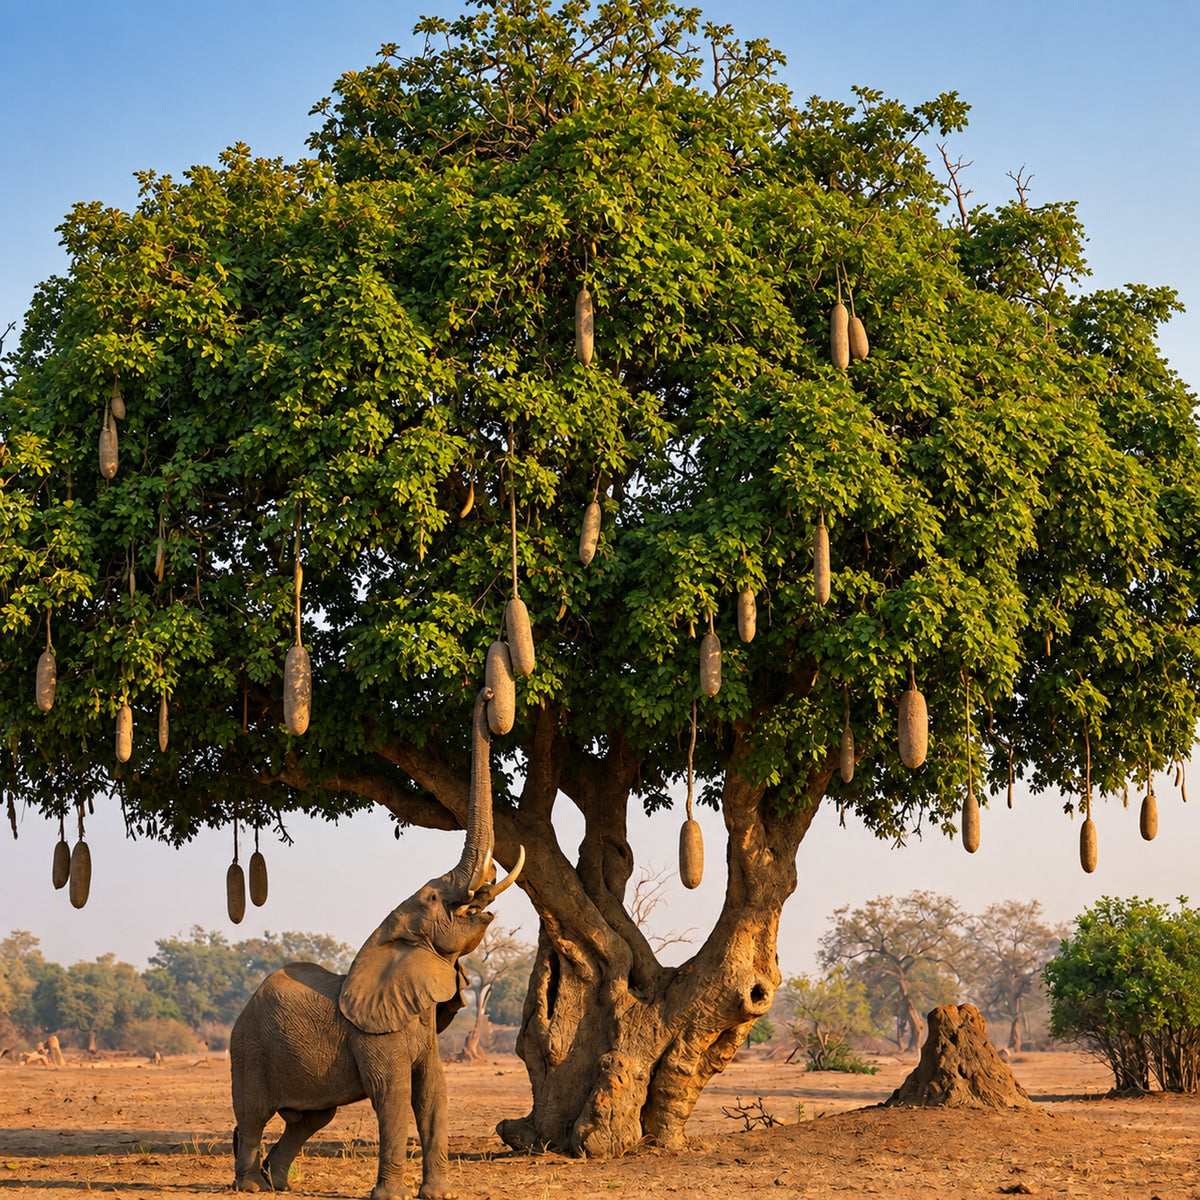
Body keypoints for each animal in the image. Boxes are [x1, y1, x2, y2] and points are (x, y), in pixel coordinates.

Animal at [230, 686, 523, 1200]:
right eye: (433, 897)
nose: (487, 693)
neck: (391, 937)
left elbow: (433, 1094)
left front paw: (438, 1196)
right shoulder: (375, 1034)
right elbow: (394, 1097)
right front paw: (389, 1197)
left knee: (308, 1120)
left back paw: (277, 1184)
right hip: (247, 1050)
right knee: (252, 1117)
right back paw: (250, 1186)